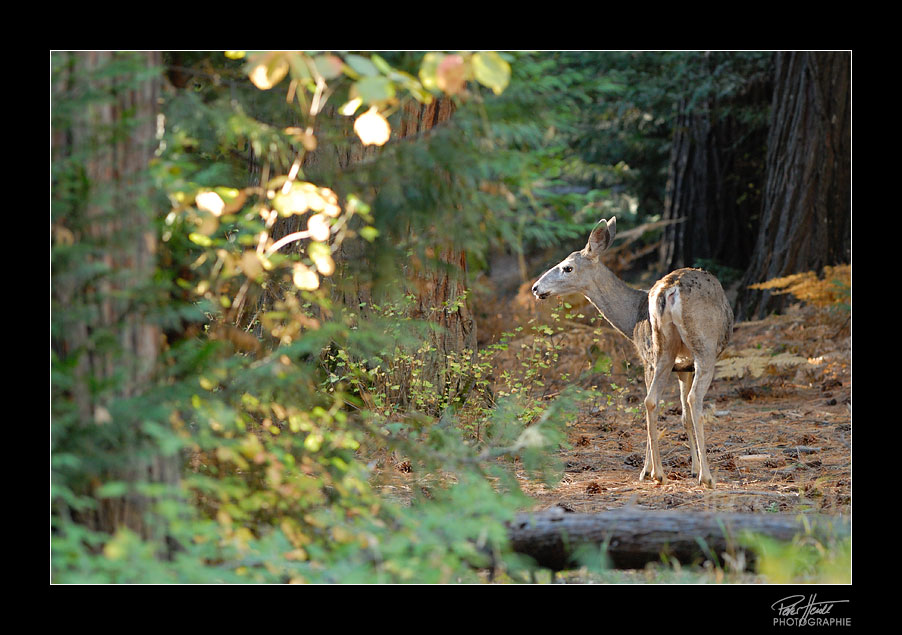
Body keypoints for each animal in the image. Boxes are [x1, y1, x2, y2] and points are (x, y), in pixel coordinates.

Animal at [532, 216, 740, 490]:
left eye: (567, 268)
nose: (536, 288)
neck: (631, 317)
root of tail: (669, 290)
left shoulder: (662, 362)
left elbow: (681, 416)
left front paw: (651, 469)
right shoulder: (671, 362)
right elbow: (685, 411)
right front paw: (691, 468)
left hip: (665, 350)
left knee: (651, 401)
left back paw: (660, 473)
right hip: (702, 346)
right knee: (693, 398)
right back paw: (705, 476)